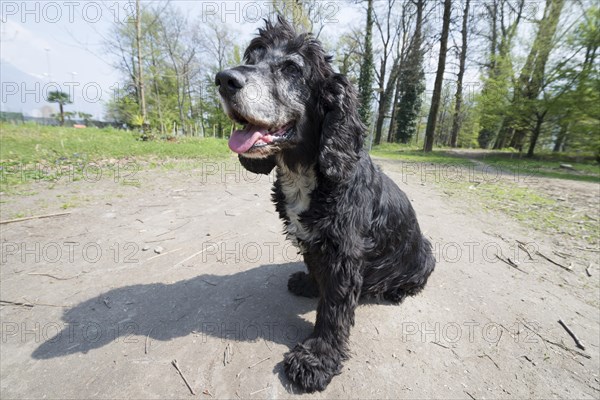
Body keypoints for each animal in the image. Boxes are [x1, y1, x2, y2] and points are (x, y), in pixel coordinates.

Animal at [216, 17, 436, 392]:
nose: (223, 79)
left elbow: (333, 309)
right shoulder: (312, 240)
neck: (306, 172)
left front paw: (316, 359)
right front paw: (308, 283)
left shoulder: (344, 253)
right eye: (253, 56)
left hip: (426, 250)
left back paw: (395, 291)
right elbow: (315, 271)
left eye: (292, 68)